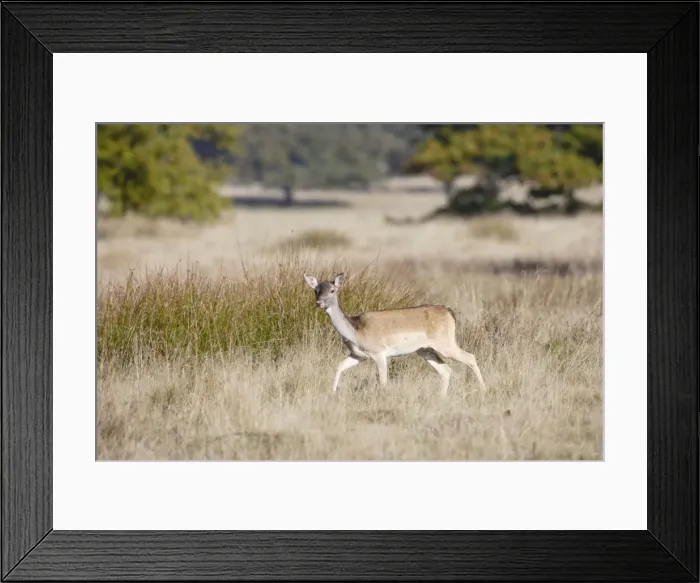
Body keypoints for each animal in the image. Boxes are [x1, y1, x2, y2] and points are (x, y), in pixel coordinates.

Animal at [303, 272, 487, 395]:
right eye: (316, 290)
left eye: (333, 290)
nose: (319, 303)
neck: (355, 331)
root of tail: (449, 312)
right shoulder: (358, 355)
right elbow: (339, 366)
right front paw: (333, 393)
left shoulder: (379, 354)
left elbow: (383, 381)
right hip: (425, 350)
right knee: (445, 370)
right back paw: (441, 397)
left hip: (445, 344)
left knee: (470, 357)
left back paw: (483, 391)